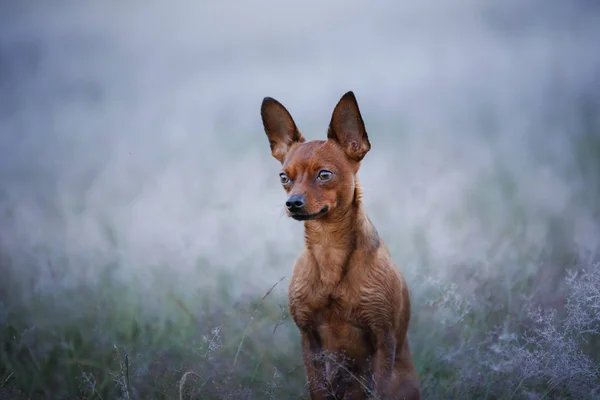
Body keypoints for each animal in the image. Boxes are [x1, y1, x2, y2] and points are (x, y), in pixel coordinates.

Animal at [260, 91, 420, 400]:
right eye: (284, 177)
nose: (292, 203)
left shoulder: (383, 339)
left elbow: (379, 391)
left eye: (324, 175)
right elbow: (318, 389)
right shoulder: (309, 340)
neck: (329, 247)